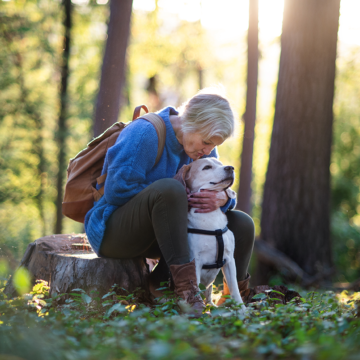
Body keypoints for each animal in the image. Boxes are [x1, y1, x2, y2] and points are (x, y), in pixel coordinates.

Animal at [175, 159, 246, 310]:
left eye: (221, 164)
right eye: (207, 167)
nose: (231, 168)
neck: (210, 219)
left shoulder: (229, 260)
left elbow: (235, 289)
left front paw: (242, 311)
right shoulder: (195, 262)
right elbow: (194, 288)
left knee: (208, 295)